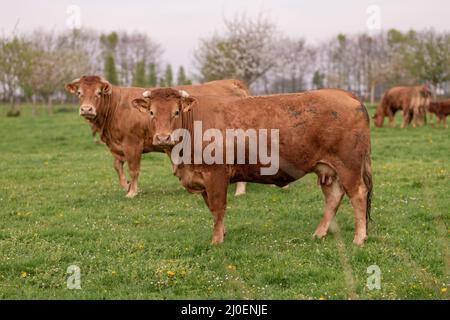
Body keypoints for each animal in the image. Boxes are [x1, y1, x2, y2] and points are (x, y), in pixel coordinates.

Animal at [66, 76, 250, 199]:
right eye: (79, 93)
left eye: (98, 92)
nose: (87, 109)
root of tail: (232, 82)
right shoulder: (118, 146)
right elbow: (117, 166)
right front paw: (126, 186)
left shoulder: (132, 143)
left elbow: (133, 169)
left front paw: (132, 192)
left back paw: (240, 191)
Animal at [133, 89, 372, 246]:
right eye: (152, 113)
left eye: (176, 112)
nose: (163, 137)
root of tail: (345, 94)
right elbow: (212, 209)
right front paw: (222, 233)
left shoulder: (216, 174)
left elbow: (218, 207)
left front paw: (216, 240)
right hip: (328, 169)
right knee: (333, 197)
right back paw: (319, 234)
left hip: (349, 165)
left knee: (358, 194)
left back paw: (359, 238)